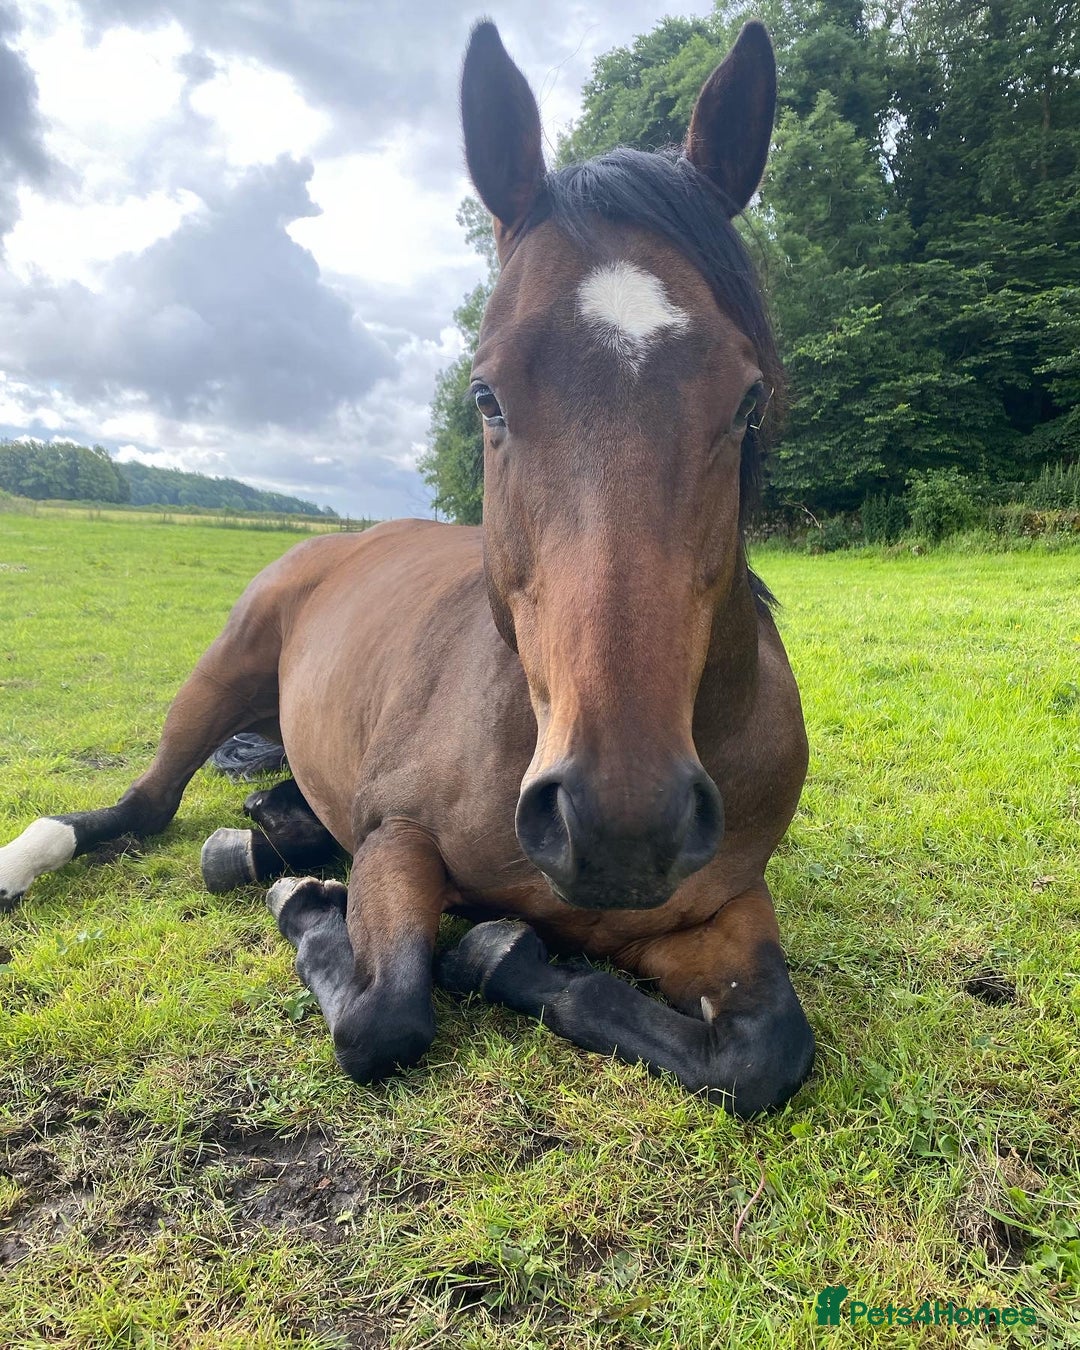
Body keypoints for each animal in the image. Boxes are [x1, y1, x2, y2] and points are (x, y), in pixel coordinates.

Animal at [0, 19, 814, 1116]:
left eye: (746, 399)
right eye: (487, 396)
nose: (619, 822)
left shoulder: (719, 912)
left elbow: (765, 1052)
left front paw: (507, 955)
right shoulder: (396, 841)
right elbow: (384, 1016)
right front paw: (320, 914)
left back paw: (263, 842)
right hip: (218, 678)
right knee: (141, 808)